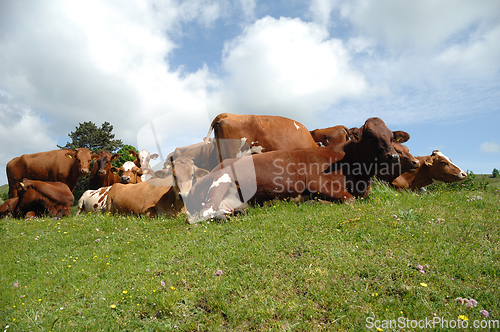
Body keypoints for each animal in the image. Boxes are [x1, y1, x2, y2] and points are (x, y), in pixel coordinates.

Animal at [186, 116, 404, 223]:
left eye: (391, 136)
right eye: (370, 136)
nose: (393, 156)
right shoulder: (318, 182)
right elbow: (349, 200)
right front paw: (314, 202)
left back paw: (236, 213)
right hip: (221, 180)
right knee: (200, 215)